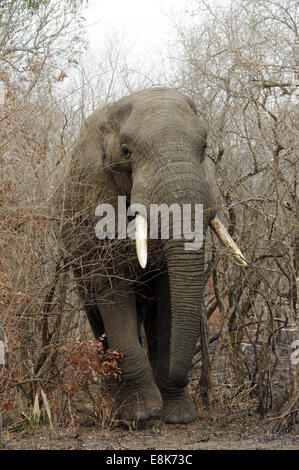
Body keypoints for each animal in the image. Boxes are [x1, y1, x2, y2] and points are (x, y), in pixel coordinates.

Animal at [58, 86, 246, 424]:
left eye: (204, 146)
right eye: (125, 152)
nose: (197, 385)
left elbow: (169, 294)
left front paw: (176, 417)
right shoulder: (94, 198)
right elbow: (111, 289)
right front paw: (140, 414)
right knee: (95, 313)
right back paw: (111, 404)